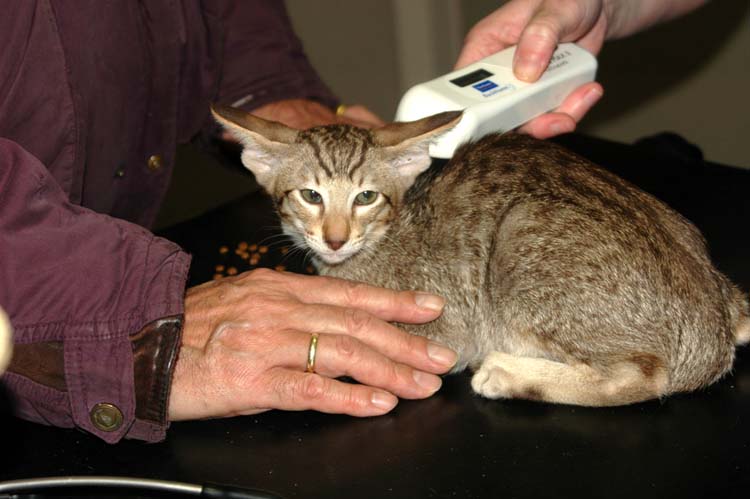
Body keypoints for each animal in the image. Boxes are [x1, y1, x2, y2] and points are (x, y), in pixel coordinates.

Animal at [212, 104, 750, 407]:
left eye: (365, 197)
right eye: (310, 196)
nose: (336, 239)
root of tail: (716, 314)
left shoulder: (445, 328)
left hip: (521, 233)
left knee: (645, 376)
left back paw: (509, 374)